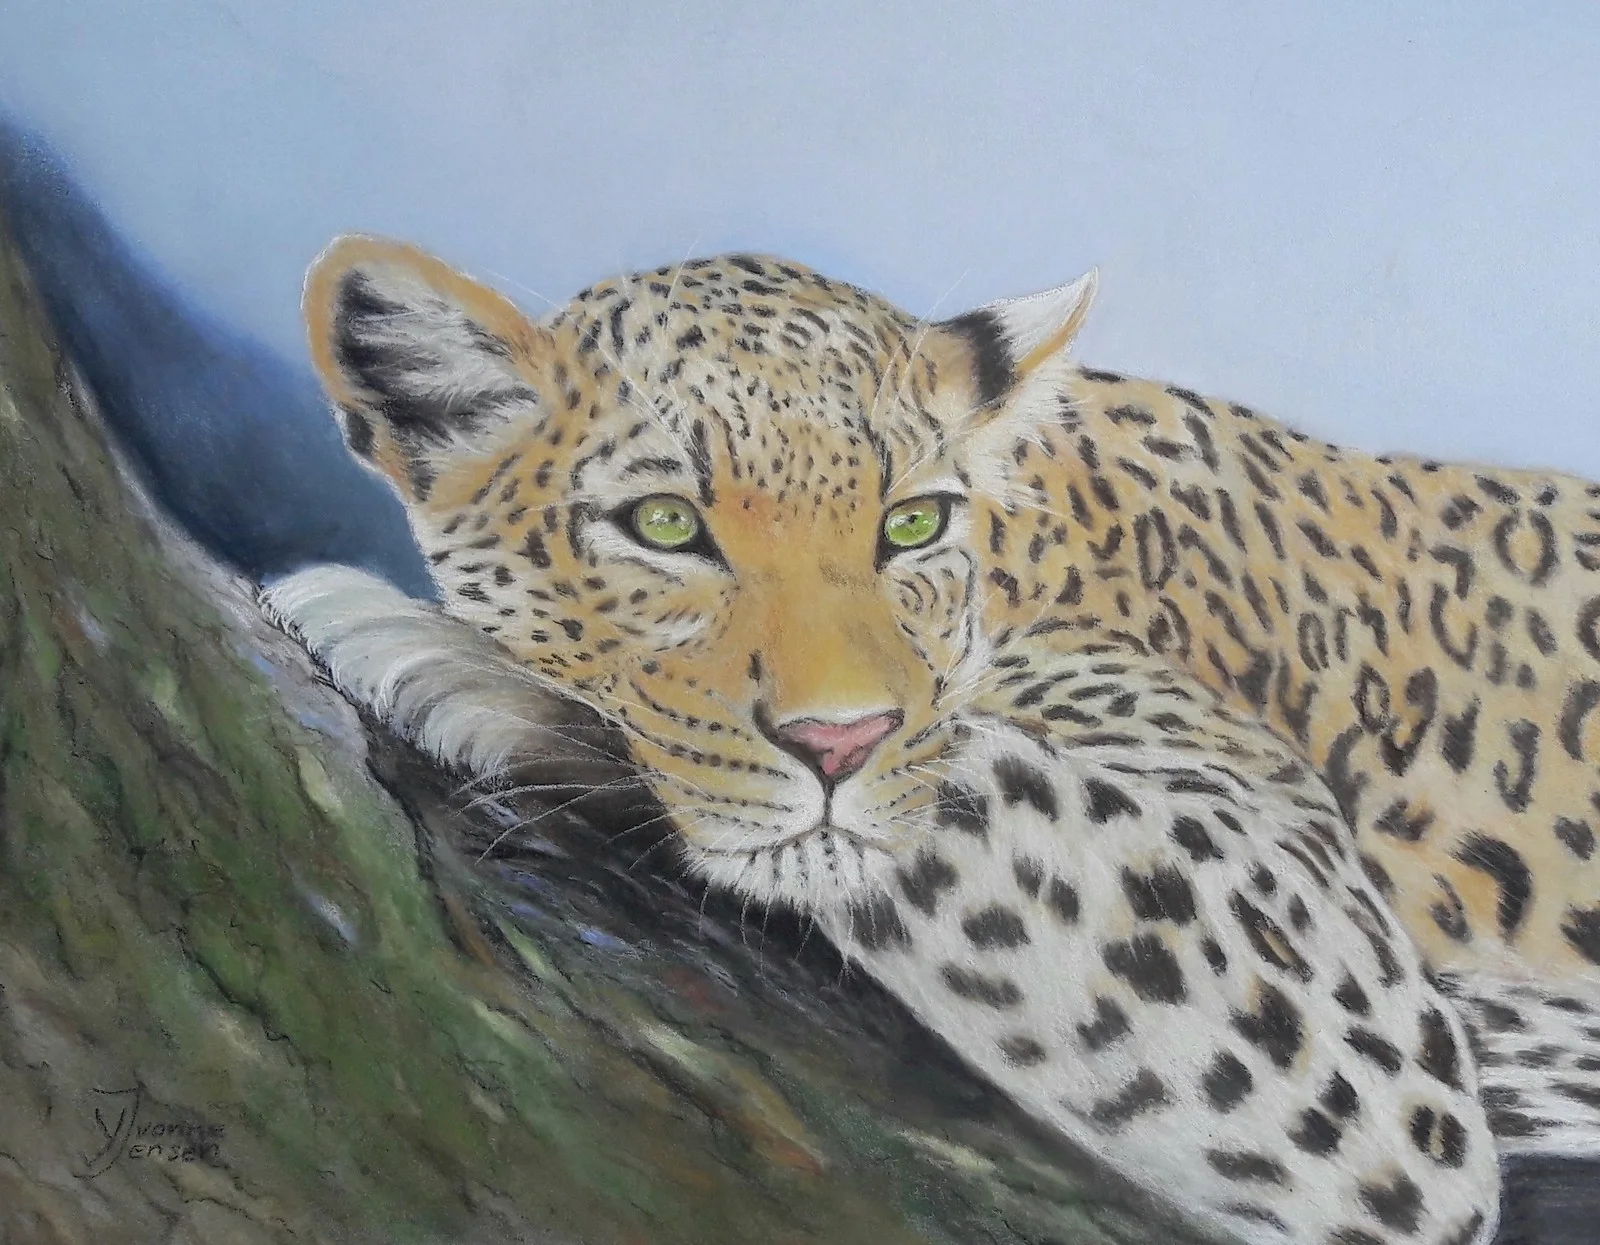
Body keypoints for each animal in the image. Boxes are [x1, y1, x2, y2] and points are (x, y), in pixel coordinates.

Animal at [261, 234, 1600, 1245]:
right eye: (665, 525)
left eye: (909, 524)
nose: (838, 741)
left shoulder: (1357, 1025)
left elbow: (958, 778)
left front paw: (425, 647)